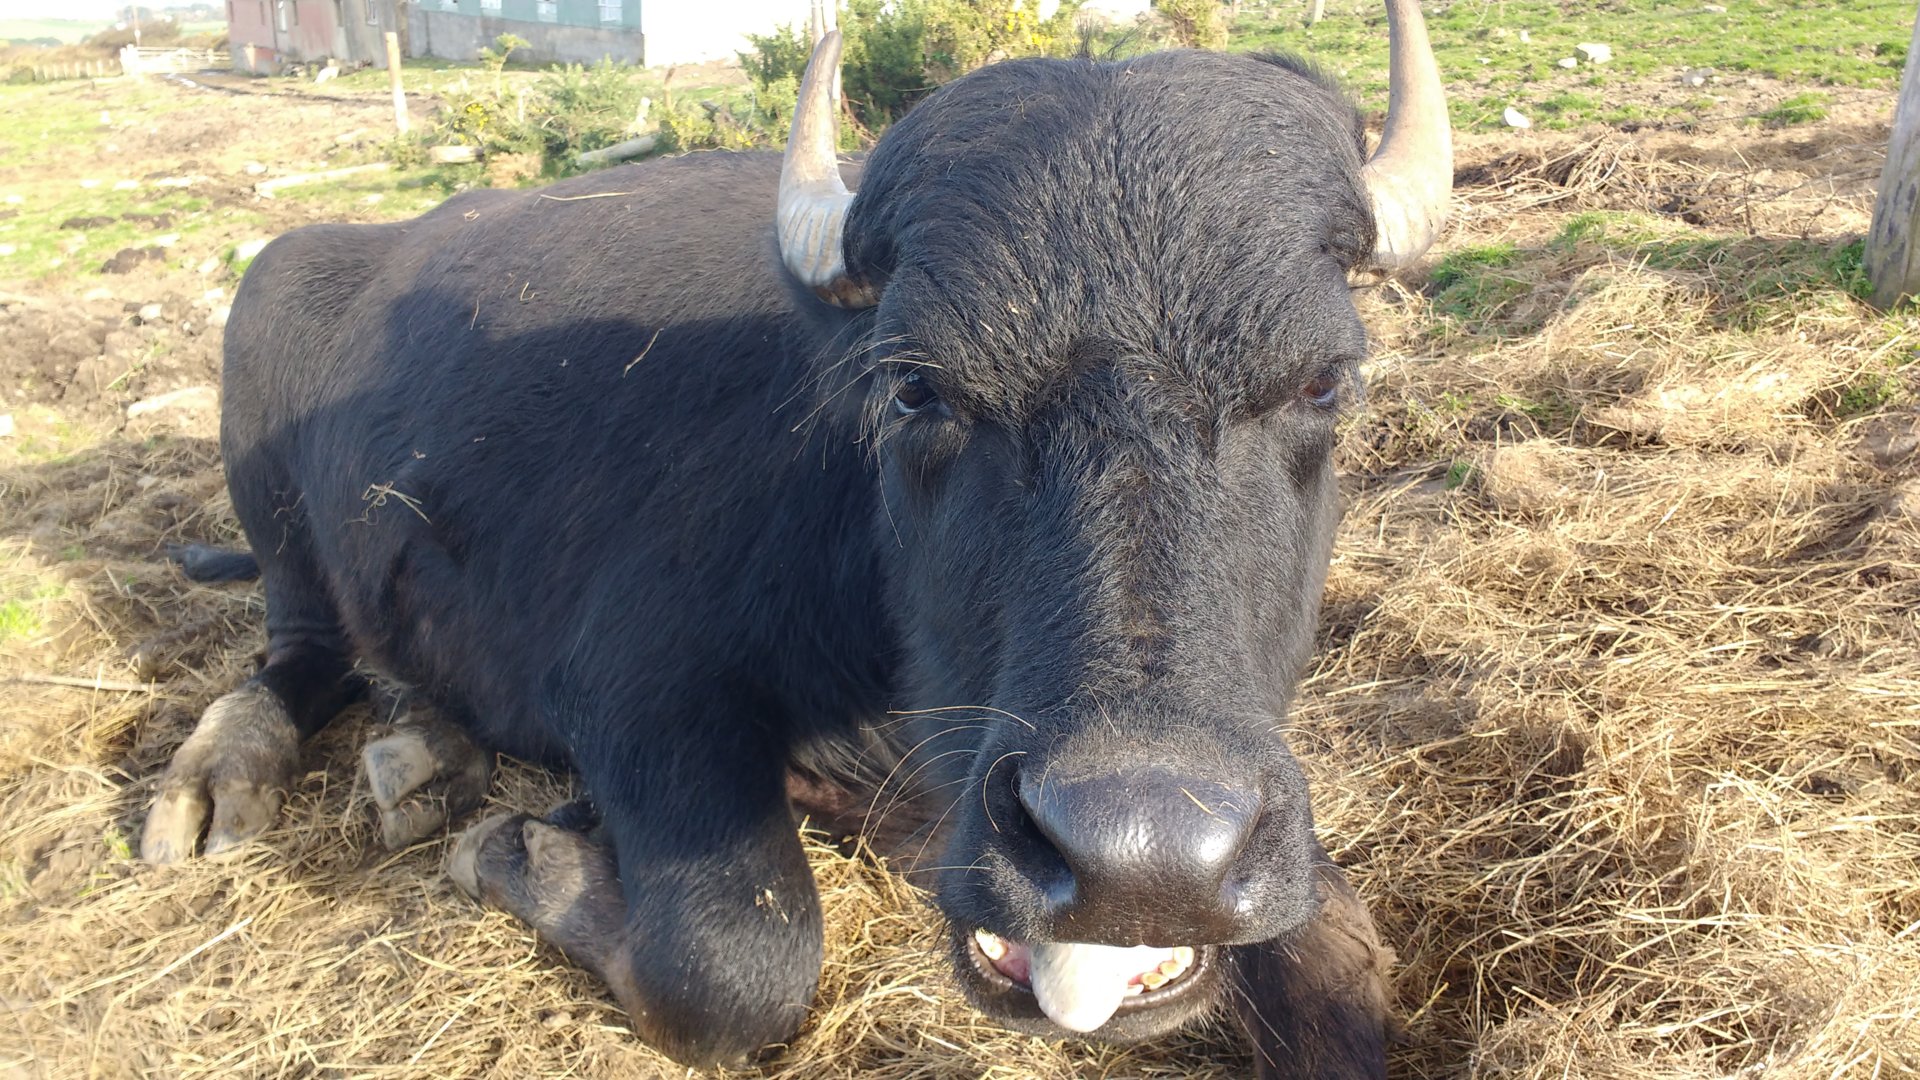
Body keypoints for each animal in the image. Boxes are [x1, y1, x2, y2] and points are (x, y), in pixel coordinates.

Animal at [140, 4, 1451, 1075]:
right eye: (916, 388)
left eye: (1328, 380)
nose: (1142, 862)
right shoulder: (634, 686)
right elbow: (740, 963)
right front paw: (517, 852)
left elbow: (1343, 952)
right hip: (267, 417)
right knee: (297, 647)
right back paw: (226, 775)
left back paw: (422, 757)